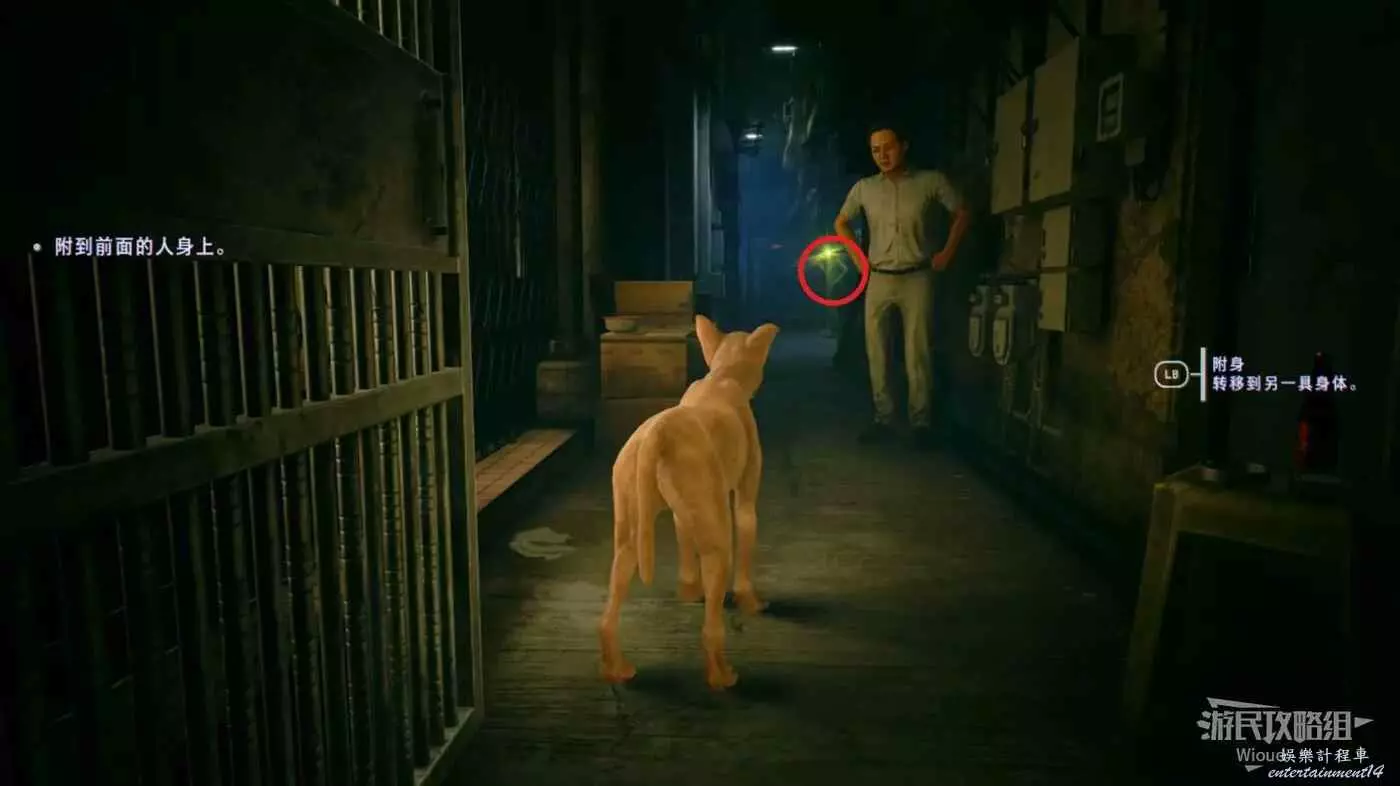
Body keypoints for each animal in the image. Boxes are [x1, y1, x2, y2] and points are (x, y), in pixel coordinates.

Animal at [599, 315, 779, 691]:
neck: (722, 376)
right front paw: (751, 603)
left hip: (629, 537)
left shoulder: (684, 516)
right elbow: (745, 550)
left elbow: (685, 549)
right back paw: (722, 677)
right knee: (711, 629)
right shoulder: (744, 502)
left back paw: (617, 669)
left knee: (607, 617)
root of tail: (657, 434)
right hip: (718, 545)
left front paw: (688, 591)